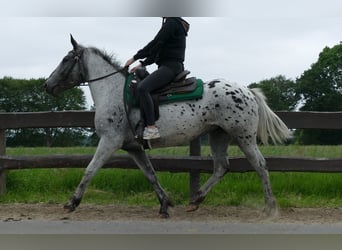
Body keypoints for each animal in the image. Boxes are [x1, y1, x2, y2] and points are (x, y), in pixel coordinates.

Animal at [44, 34, 292, 218]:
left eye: (66, 59)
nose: (47, 85)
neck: (114, 92)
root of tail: (247, 90)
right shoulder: (133, 147)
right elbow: (150, 174)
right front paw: (165, 204)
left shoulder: (109, 141)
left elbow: (90, 169)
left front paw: (71, 203)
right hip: (218, 135)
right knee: (221, 167)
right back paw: (195, 200)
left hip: (243, 136)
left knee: (260, 165)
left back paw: (270, 208)